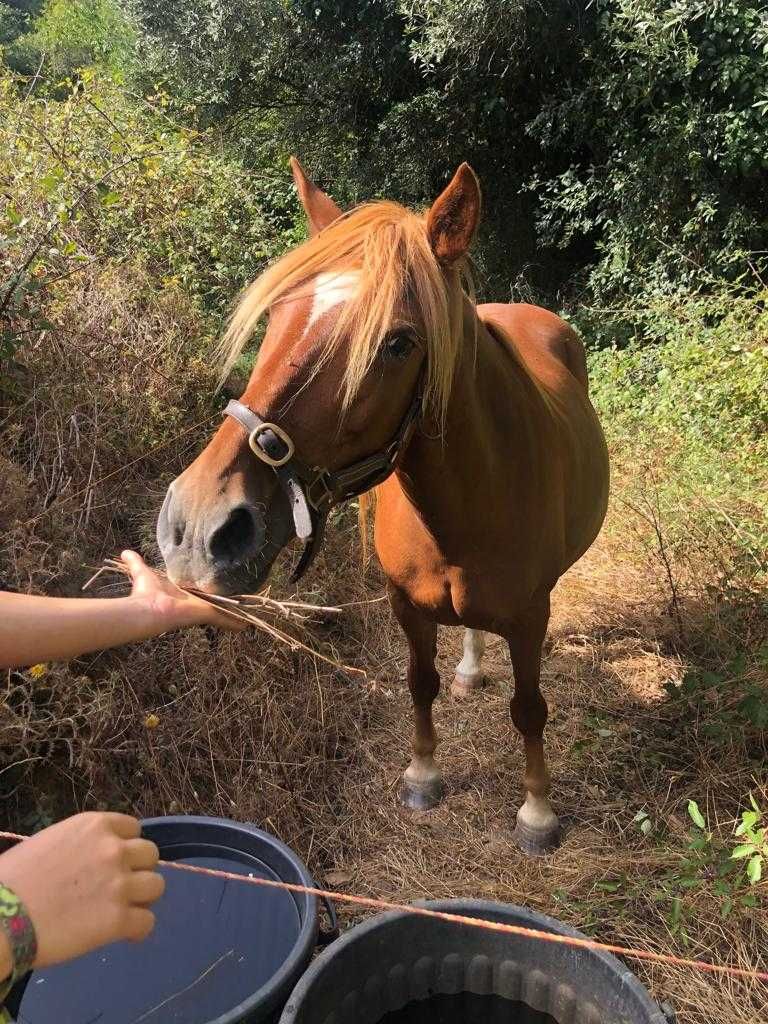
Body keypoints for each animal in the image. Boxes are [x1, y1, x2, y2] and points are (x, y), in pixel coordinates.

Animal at [156, 155, 610, 851]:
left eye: (398, 343)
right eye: (277, 316)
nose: (199, 526)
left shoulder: (532, 615)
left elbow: (530, 709)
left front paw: (537, 812)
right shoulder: (406, 606)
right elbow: (419, 684)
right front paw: (422, 775)